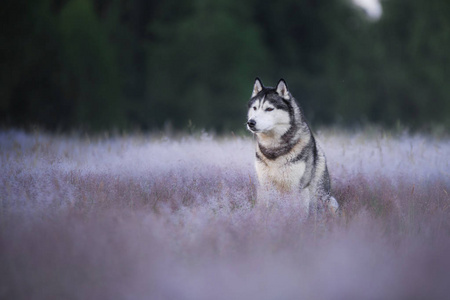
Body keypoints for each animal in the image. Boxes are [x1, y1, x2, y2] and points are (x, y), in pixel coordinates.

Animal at [246, 77, 338, 213]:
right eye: (255, 108)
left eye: (269, 109)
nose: (251, 122)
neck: (274, 149)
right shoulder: (265, 186)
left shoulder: (298, 188)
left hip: (330, 201)